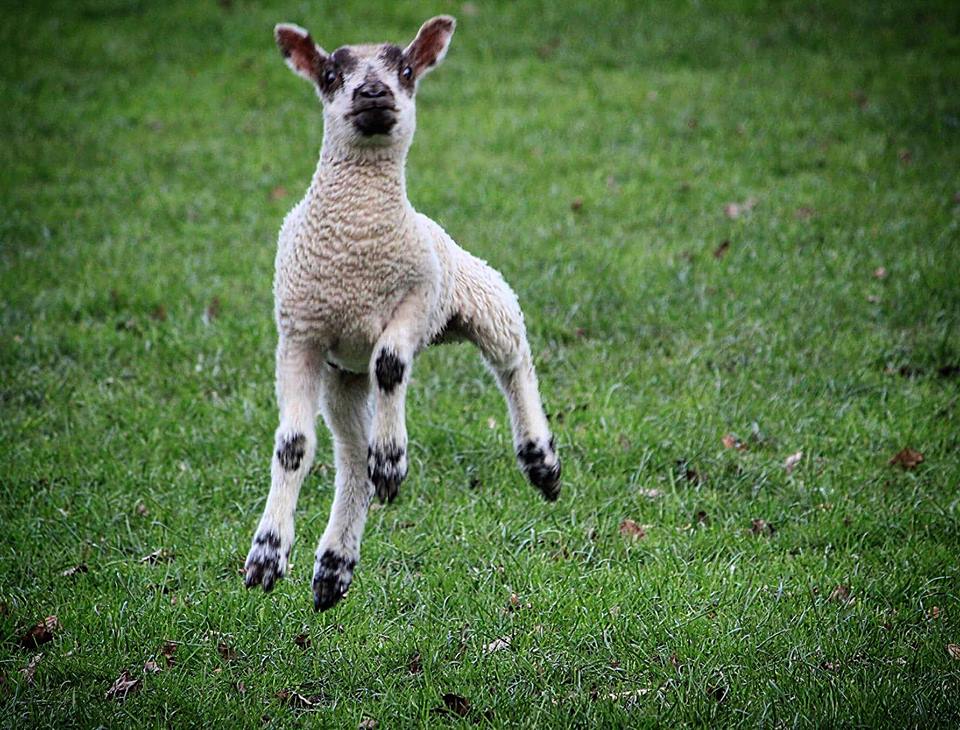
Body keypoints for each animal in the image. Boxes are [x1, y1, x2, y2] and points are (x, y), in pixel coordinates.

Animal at [243, 15, 561, 612]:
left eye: (407, 69)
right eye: (329, 73)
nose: (373, 92)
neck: (355, 238)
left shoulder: (419, 298)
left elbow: (391, 363)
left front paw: (393, 456)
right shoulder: (299, 335)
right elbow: (293, 447)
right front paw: (267, 554)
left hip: (475, 290)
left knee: (512, 357)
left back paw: (540, 460)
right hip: (341, 377)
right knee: (349, 457)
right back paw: (334, 565)